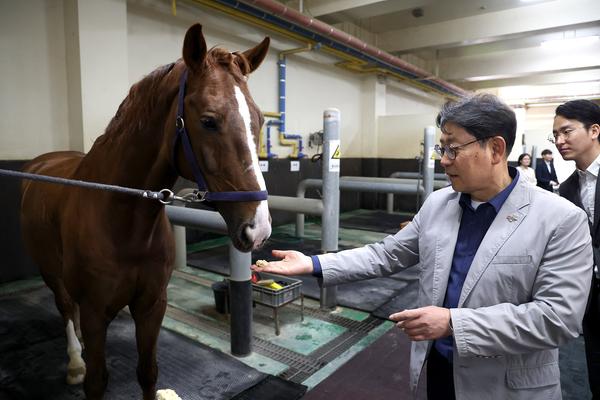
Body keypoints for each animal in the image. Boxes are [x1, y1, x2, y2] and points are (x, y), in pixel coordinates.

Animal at [18, 25, 272, 400]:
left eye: (259, 120)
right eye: (209, 121)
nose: (259, 229)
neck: (122, 220)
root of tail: (43, 161)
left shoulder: (152, 305)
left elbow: (148, 372)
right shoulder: (95, 312)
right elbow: (97, 381)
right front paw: (84, 367)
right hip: (50, 270)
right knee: (65, 308)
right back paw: (75, 360)